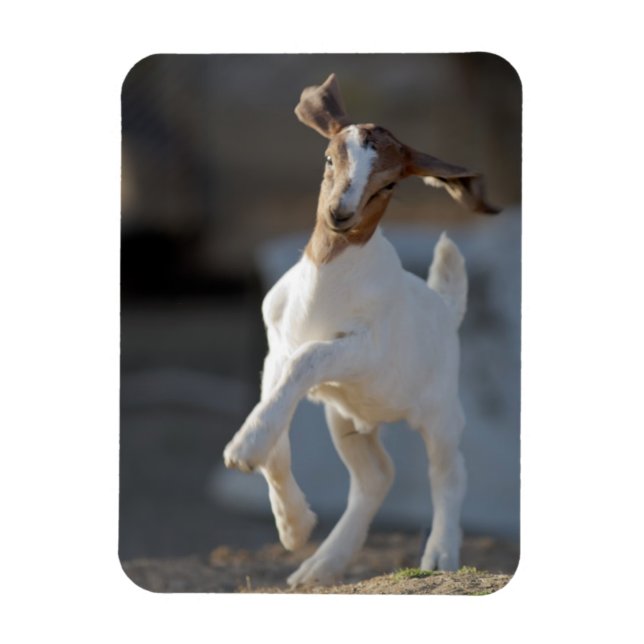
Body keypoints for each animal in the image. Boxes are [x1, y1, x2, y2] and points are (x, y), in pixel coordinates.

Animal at [223, 73, 499, 587]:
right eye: (329, 158)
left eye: (388, 182)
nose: (340, 214)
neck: (324, 288)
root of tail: (445, 306)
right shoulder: (275, 352)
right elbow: (277, 436)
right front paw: (292, 526)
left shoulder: (361, 350)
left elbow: (308, 358)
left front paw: (243, 450)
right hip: (346, 416)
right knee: (376, 476)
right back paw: (318, 566)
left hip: (439, 410)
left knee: (449, 471)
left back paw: (439, 556)